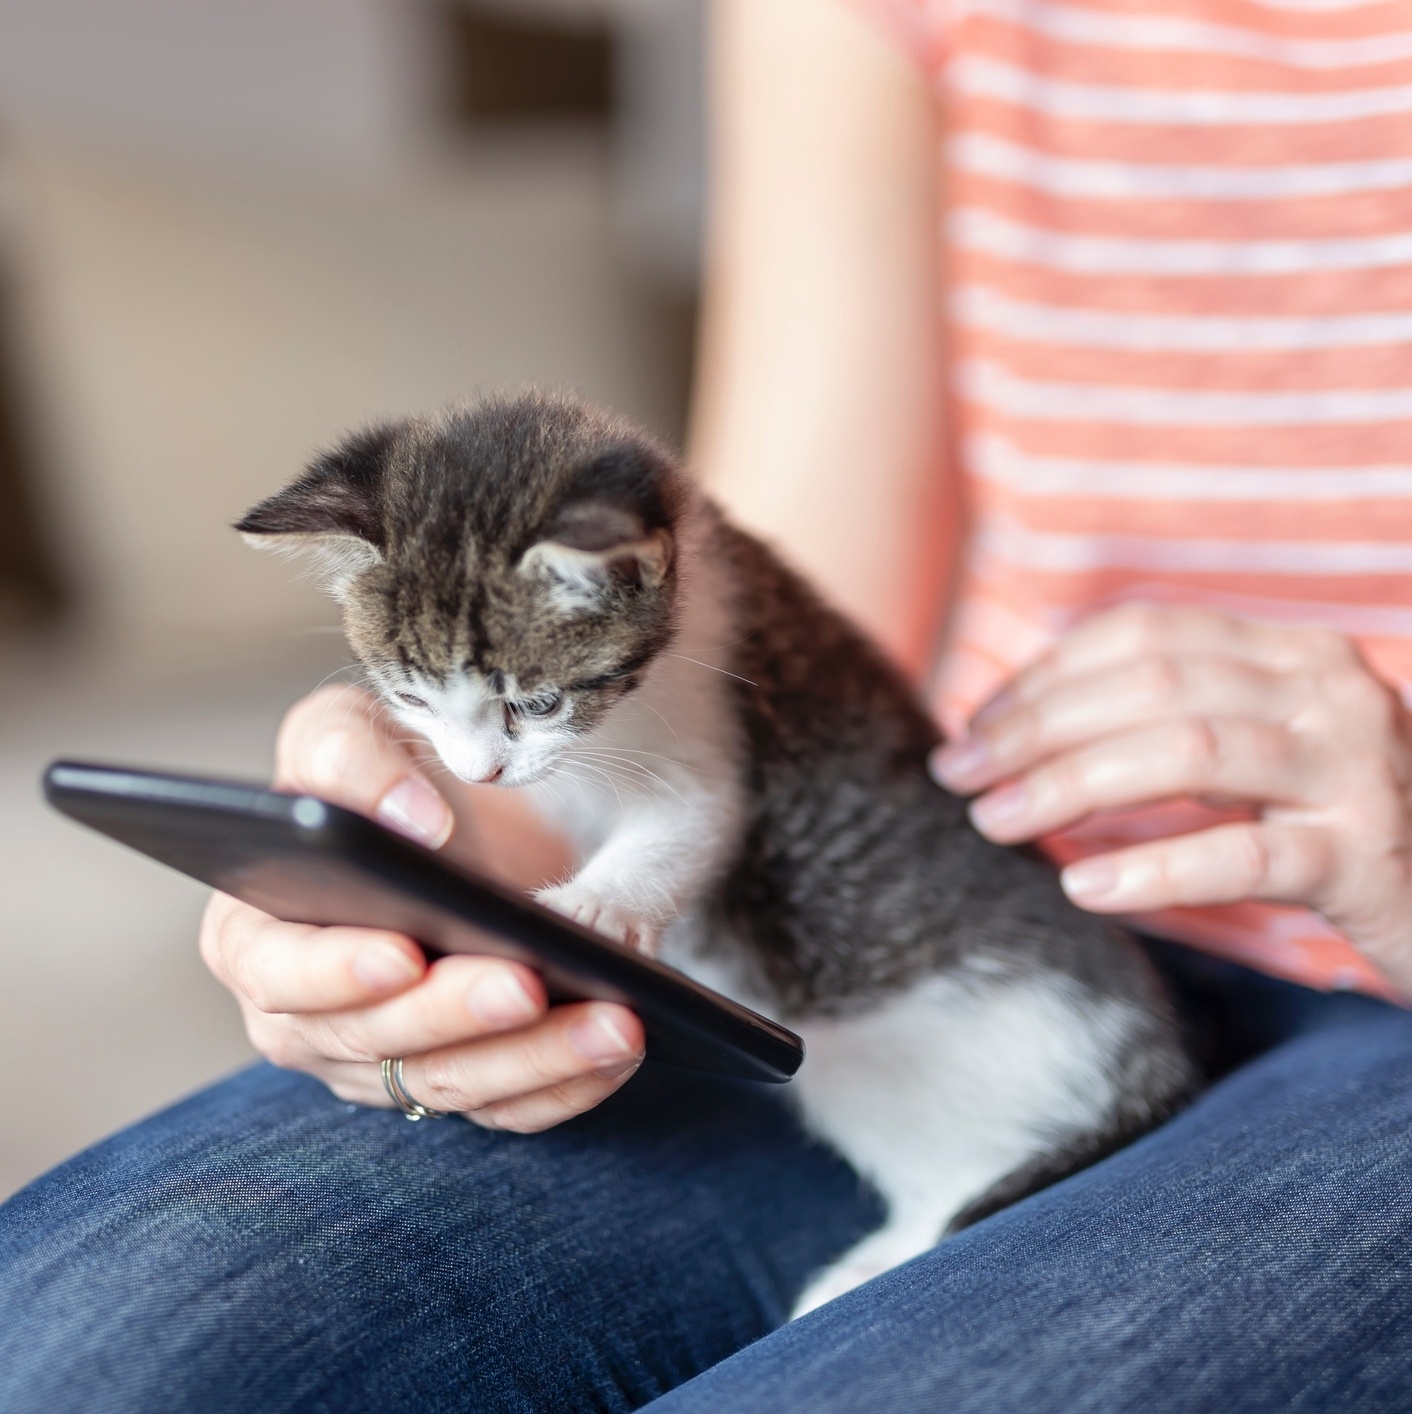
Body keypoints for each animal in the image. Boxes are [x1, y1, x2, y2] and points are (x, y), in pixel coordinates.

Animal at [240, 390, 1192, 1312]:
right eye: (410, 697)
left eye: (538, 702)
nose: (482, 770)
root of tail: (1158, 1058)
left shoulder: (713, 736)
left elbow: (686, 826)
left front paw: (589, 912)